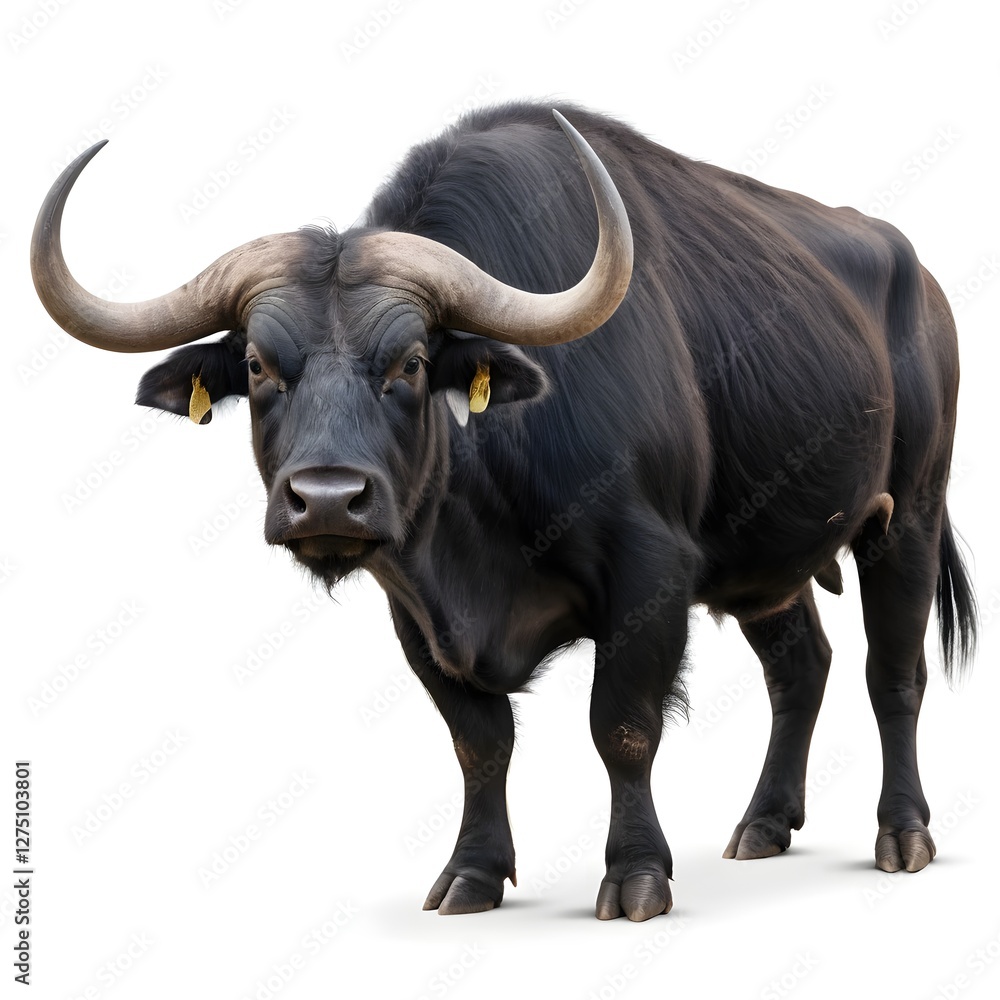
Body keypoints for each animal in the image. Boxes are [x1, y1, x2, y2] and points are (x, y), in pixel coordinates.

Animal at [31, 101, 977, 922]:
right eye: (260, 366)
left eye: (412, 363)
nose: (328, 499)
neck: (478, 531)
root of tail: (922, 279)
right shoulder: (414, 606)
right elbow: (478, 741)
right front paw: (473, 874)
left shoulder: (651, 573)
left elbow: (622, 727)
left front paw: (637, 875)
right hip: (767, 564)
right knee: (801, 668)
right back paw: (764, 823)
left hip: (909, 514)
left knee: (894, 673)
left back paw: (903, 832)